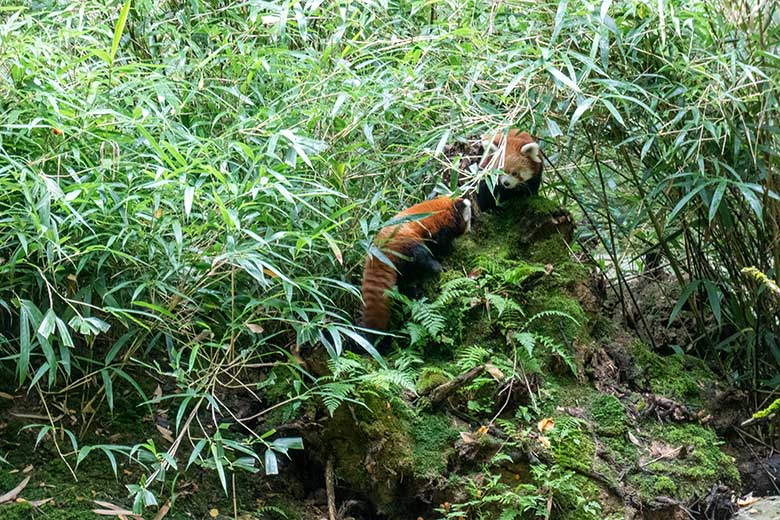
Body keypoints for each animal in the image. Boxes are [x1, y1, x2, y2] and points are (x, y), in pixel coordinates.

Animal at [358, 195, 470, 334]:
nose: (469, 229)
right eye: (470, 219)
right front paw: (447, 252)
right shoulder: (440, 229)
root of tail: (379, 249)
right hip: (407, 244)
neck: (447, 207)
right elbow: (441, 245)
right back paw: (438, 269)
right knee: (422, 257)